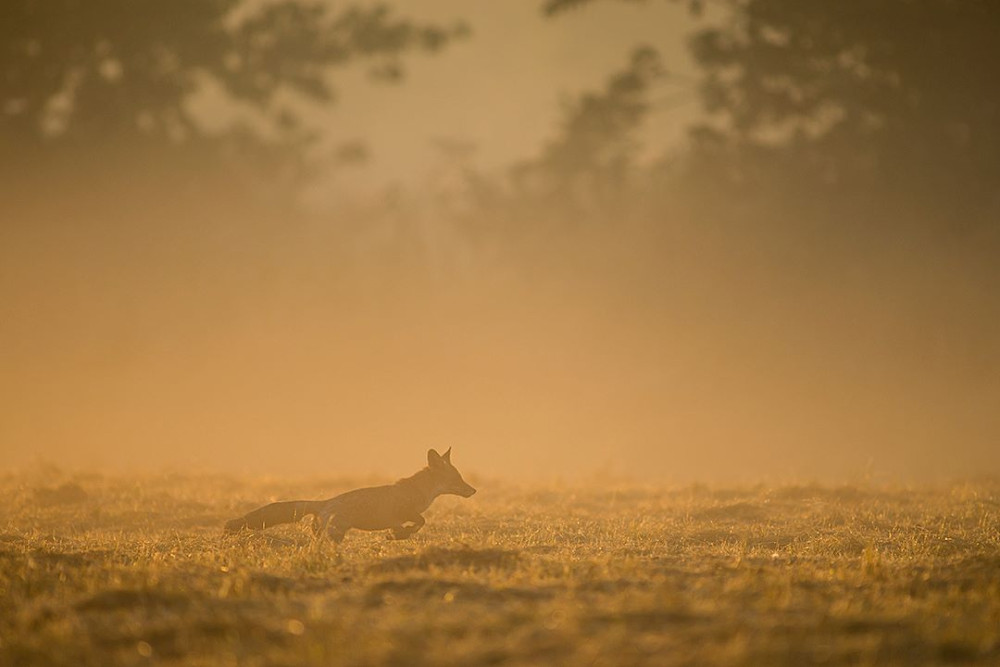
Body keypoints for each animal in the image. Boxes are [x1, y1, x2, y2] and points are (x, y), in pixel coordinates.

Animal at [227, 448, 476, 544]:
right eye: (457, 479)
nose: (473, 490)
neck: (420, 492)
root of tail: (324, 503)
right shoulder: (405, 511)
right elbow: (420, 522)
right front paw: (399, 535)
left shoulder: (401, 516)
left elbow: (412, 525)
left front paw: (395, 535)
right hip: (336, 532)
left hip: (328, 531)